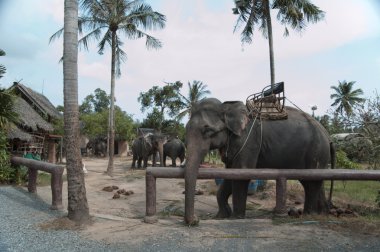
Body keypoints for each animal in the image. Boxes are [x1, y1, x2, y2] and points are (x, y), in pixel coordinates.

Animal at [184, 97, 336, 225]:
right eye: (186, 128)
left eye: (207, 130)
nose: (196, 220)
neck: (227, 106)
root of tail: (328, 136)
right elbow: (230, 174)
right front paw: (221, 216)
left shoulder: (248, 141)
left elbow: (241, 174)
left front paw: (236, 218)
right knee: (313, 181)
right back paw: (321, 213)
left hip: (316, 151)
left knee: (312, 181)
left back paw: (308, 215)